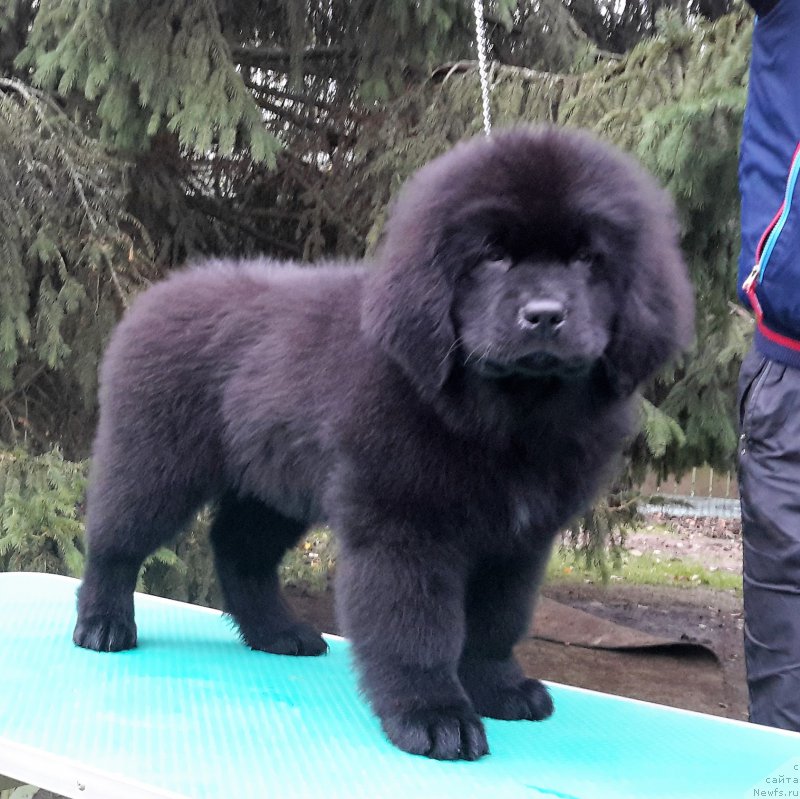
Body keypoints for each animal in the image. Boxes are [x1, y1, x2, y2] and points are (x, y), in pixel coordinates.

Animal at [72, 128, 692, 760]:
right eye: (492, 255)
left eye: (589, 259)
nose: (544, 315)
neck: (507, 416)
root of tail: (162, 291)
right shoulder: (404, 526)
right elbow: (415, 626)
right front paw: (433, 715)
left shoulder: (520, 541)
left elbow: (497, 620)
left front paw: (499, 688)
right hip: (157, 460)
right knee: (115, 540)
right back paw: (103, 624)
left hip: (275, 483)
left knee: (238, 548)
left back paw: (278, 632)